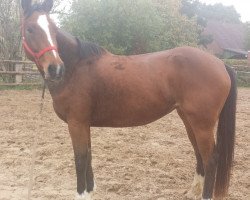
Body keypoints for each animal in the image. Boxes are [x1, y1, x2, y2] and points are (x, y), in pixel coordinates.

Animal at [21, 0, 236, 199]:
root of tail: (220, 63)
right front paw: (90, 190)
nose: (55, 68)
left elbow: (80, 159)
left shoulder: (77, 123)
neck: (77, 67)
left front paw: (82, 194)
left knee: (211, 159)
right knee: (199, 152)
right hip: (188, 119)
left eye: (53, 29)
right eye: (30, 29)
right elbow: (88, 155)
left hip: (202, 124)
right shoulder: (84, 124)